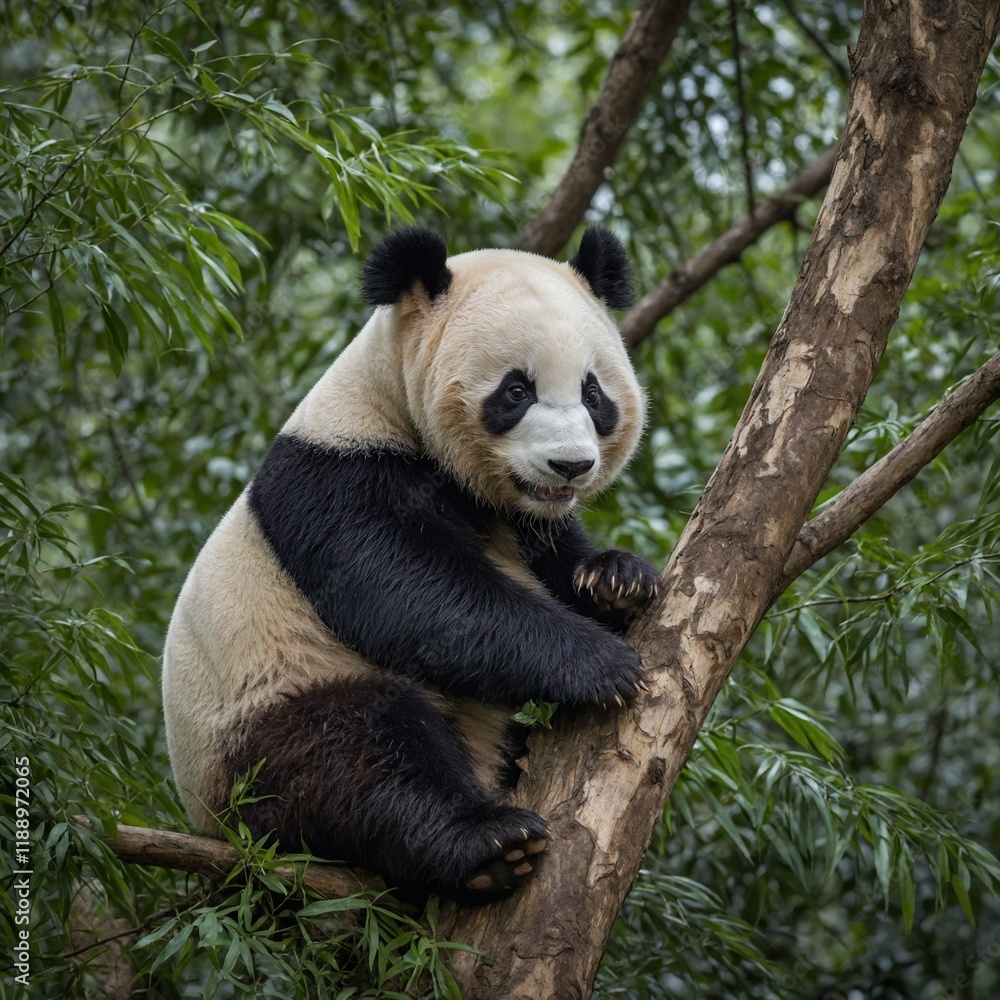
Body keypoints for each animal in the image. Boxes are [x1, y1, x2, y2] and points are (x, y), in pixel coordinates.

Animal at [162, 226, 660, 904]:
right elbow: (413, 593)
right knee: (361, 754)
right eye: (516, 391)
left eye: (593, 392)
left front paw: (617, 580)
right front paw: (600, 664)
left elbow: (559, 559)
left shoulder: (523, 522)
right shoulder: (335, 477)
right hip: (259, 717)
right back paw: (488, 845)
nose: (570, 466)